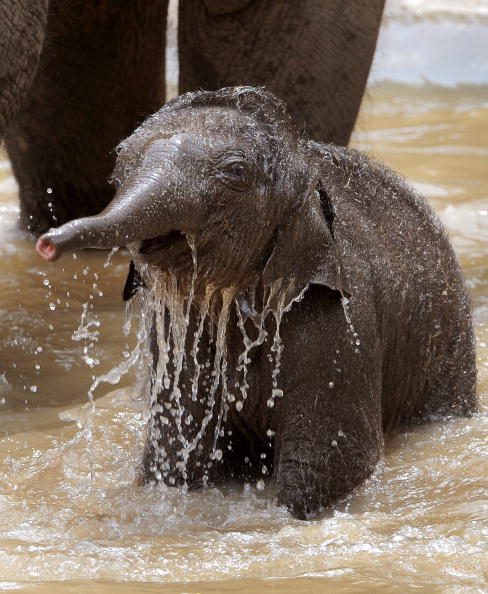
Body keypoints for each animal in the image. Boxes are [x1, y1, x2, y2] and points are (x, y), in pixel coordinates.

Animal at [36, 85, 478, 516]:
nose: (47, 243)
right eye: (118, 172)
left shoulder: (341, 319)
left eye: (235, 172)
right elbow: (176, 451)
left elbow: (330, 463)